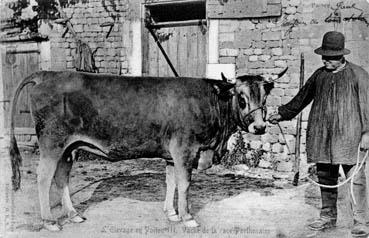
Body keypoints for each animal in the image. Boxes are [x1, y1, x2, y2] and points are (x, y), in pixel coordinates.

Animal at [7, 68, 284, 231]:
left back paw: (73, 214)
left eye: (264, 98)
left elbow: (171, 182)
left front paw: (171, 213)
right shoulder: (184, 150)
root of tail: (47, 74)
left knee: (61, 178)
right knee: (44, 179)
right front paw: (187, 217)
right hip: (51, 144)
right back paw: (49, 221)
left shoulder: (172, 155)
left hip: (69, 148)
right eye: (242, 98)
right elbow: (184, 185)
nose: (260, 126)